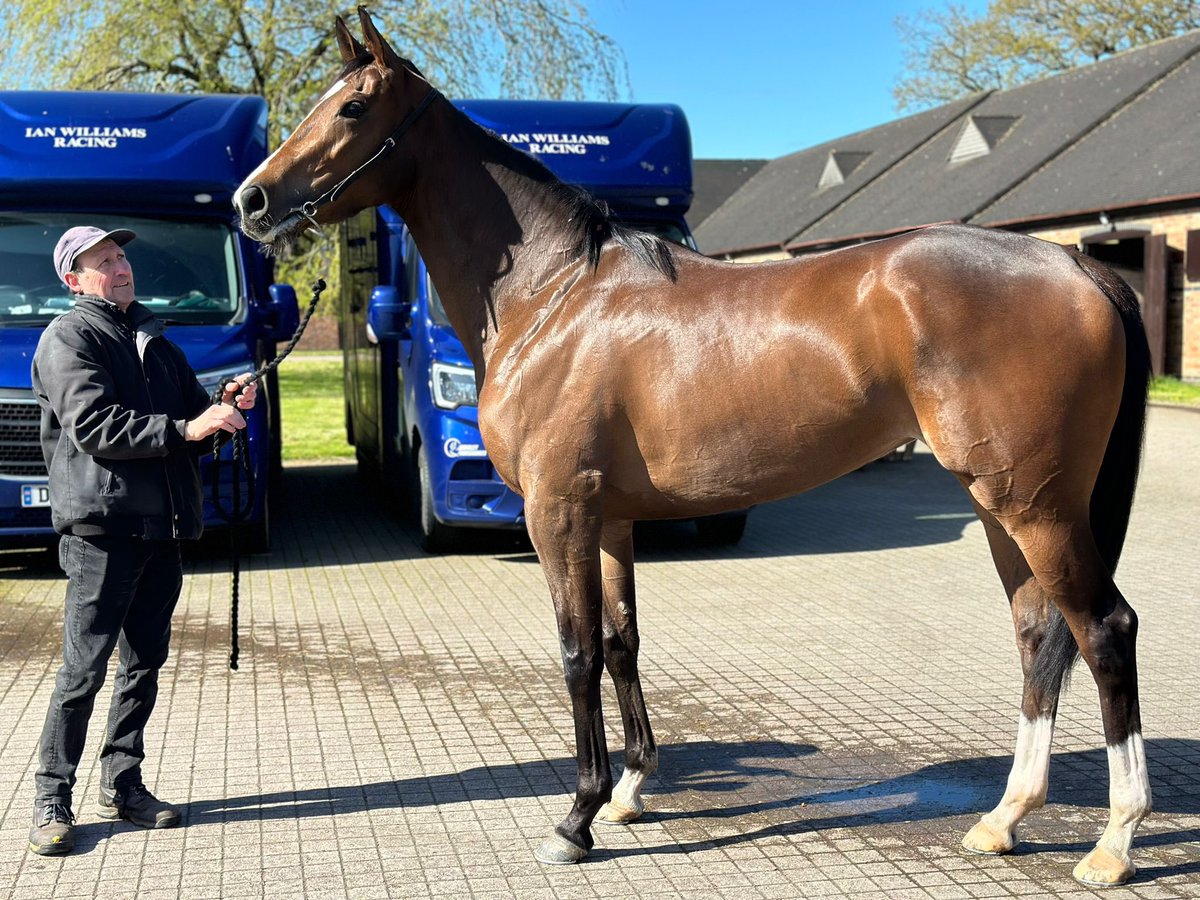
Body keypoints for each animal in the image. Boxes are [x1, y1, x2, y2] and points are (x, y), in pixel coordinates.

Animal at [231, 8, 1152, 888]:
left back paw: (1113, 842)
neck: (555, 295)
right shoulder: (609, 519)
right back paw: (1003, 819)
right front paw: (631, 789)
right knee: (1038, 635)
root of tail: (1080, 268)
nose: (251, 201)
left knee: (1105, 628)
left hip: (1035, 506)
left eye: (351, 108)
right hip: (1002, 504)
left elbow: (575, 652)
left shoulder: (557, 512)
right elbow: (620, 643)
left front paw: (576, 819)